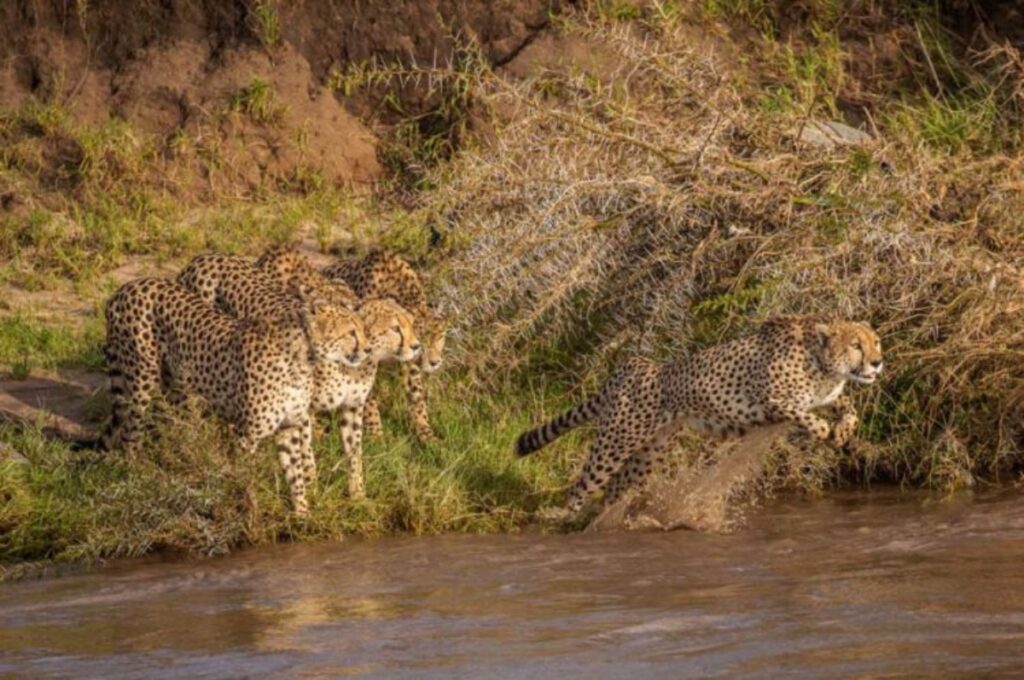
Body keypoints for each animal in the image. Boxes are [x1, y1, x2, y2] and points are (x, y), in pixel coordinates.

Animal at [99, 276, 370, 516]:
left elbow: (296, 473)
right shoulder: (247, 435)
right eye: (350, 333)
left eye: (361, 328)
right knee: (130, 435)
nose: (367, 349)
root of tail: (125, 287)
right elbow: (248, 479)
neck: (303, 357)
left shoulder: (289, 425)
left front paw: (302, 514)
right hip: (141, 383)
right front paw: (253, 517)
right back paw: (136, 477)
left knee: (178, 426)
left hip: (176, 386)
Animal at [321, 249, 446, 440]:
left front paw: (426, 433)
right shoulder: (364, 357)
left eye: (440, 336)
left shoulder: (409, 361)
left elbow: (417, 396)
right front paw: (375, 434)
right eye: (423, 338)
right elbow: (369, 398)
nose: (435, 362)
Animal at [516, 315, 884, 512]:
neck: (823, 364)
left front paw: (843, 431)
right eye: (856, 345)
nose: (878, 362)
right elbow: (808, 418)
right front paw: (826, 433)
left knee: (614, 490)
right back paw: (568, 521)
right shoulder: (772, 399)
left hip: (648, 453)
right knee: (581, 487)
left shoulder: (826, 395)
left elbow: (848, 408)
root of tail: (633, 365)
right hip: (615, 443)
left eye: (875, 341)